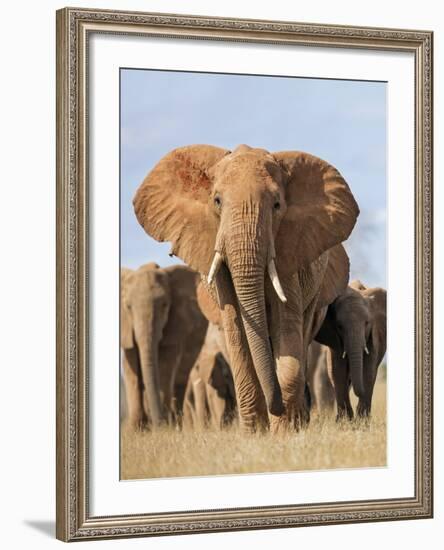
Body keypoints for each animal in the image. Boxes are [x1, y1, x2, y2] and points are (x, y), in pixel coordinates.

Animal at [119, 264, 207, 432]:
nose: (158, 424)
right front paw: (135, 430)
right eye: (128, 307)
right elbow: (130, 368)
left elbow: (165, 365)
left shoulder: (176, 324)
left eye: (165, 305)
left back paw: (177, 424)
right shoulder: (126, 329)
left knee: (180, 380)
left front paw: (165, 427)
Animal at [134, 144, 360, 434]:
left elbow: (286, 328)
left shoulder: (291, 252)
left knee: (301, 335)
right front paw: (255, 433)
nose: (277, 408)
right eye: (217, 201)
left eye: (277, 205)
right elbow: (237, 332)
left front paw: (284, 431)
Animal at [316, 282, 386, 420]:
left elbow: (369, 369)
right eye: (339, 326)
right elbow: (337, 369)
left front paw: (362, 421)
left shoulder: (374, 334)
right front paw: (345, 421)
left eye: (367, 323)